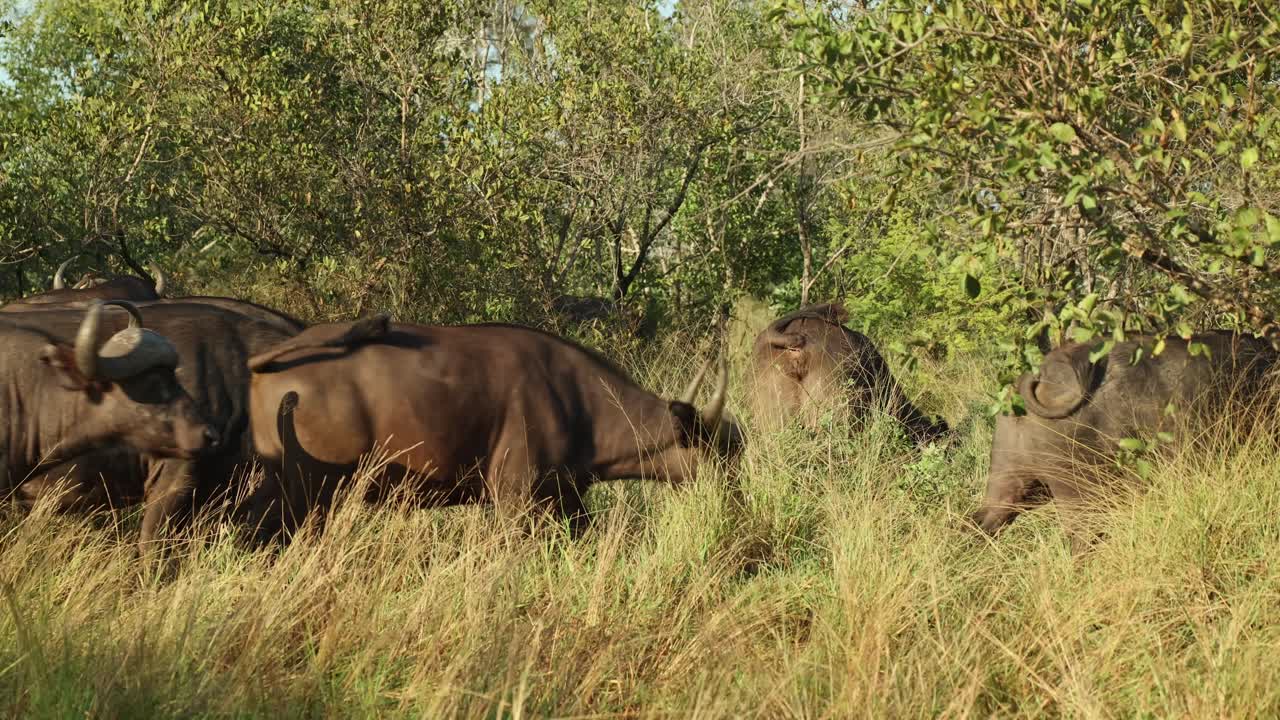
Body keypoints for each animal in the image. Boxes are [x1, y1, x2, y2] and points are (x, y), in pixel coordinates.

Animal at [241, 316, 742, 539]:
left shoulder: (567, 499)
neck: (578, 401)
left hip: (280, 485)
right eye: (718, 451)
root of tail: (266, 363)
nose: (737, 500)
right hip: (312, 494)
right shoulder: (516, 502)